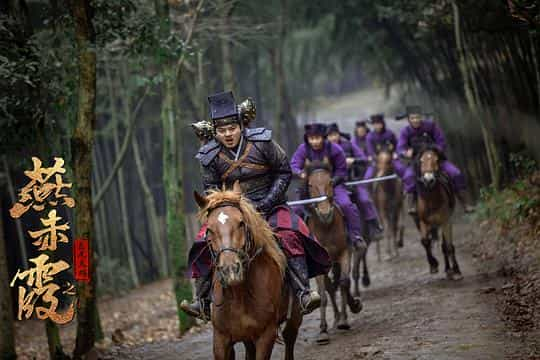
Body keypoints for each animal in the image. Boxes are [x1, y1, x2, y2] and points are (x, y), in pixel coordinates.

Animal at [194, 183, 304, 360]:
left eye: (241, 223)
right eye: (209, 229)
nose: (231, 270)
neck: (240, 295)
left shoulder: (266, 336)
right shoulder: (221, 339)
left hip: (294, 317)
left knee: (289, 339)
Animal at [302, 159, 360, 344]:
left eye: (330, 182)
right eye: (310, 184)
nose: (325, 212)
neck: (326, 226)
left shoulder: (345, 252)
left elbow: (344, 282)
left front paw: (346, 318)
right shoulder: (320, 264)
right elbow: (323, 293)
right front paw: (323, 331)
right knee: (329, 287)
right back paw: (335, 316)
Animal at [416, 149, 462, 282]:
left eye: (436, 160)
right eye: (421, 160)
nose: (428, 179)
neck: (431, 199)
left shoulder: (446, 221)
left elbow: (449, 246)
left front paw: (456, 271)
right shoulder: (423, 221)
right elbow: (425, 241)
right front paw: (433, 265)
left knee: (446, 246)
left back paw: (450, 270)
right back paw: (447, 269)